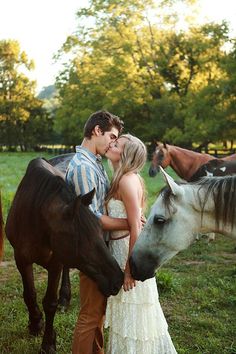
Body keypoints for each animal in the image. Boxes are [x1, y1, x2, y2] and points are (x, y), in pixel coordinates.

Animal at [5, 158, 123, 354]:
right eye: (80, 238)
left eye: (100, 229)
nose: (118, 279)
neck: (34, 217)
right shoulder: (21, 259)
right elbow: (29, 294)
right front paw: (35, 324)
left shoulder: (56, 263)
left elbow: (50, 303)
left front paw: (48, 342)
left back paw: (64, 299)